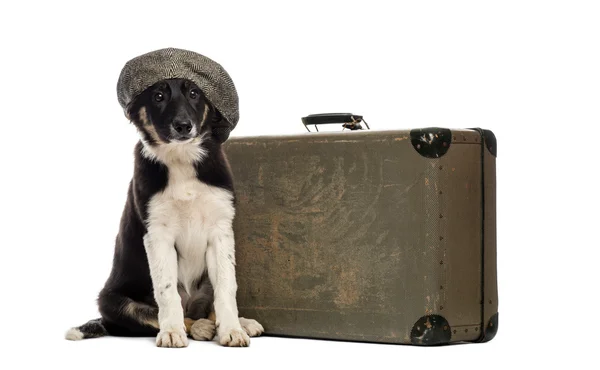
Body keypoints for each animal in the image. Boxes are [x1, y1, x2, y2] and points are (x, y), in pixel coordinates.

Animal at [66, 77, 262, 346]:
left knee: (209, 306)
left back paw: (239, 323)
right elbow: (167, 291)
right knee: (167, 315)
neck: (181, 158)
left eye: (194, 93)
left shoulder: (220, 230)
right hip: (113, 302)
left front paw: (232, 329)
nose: (183, 126)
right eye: (158, 96)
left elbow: (226, 286)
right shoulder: (158, 234)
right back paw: (198, 327)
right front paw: (171, 332)